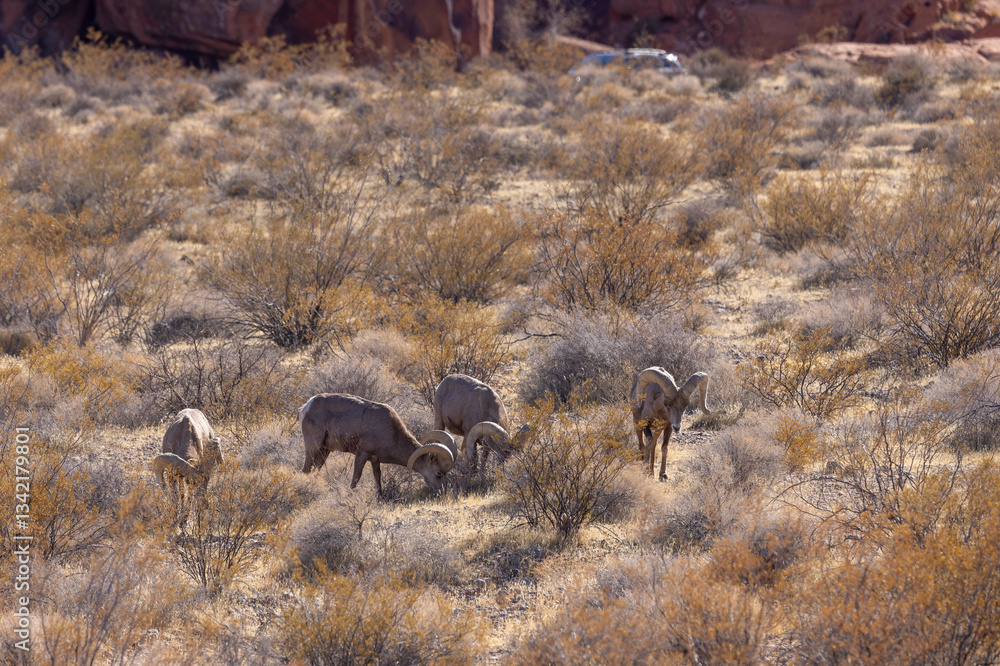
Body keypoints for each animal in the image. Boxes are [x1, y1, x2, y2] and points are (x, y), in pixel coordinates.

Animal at [299, 393, 458, 496]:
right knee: (306, 470)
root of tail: (306, 407)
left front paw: (380, 498)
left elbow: (377, 478)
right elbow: (356, 477)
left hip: (324, 450)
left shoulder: (375, 459)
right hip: (313, 447)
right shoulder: (362, 454)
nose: (441, 492)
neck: (392, 433)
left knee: (315, 469)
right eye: (438, 473)